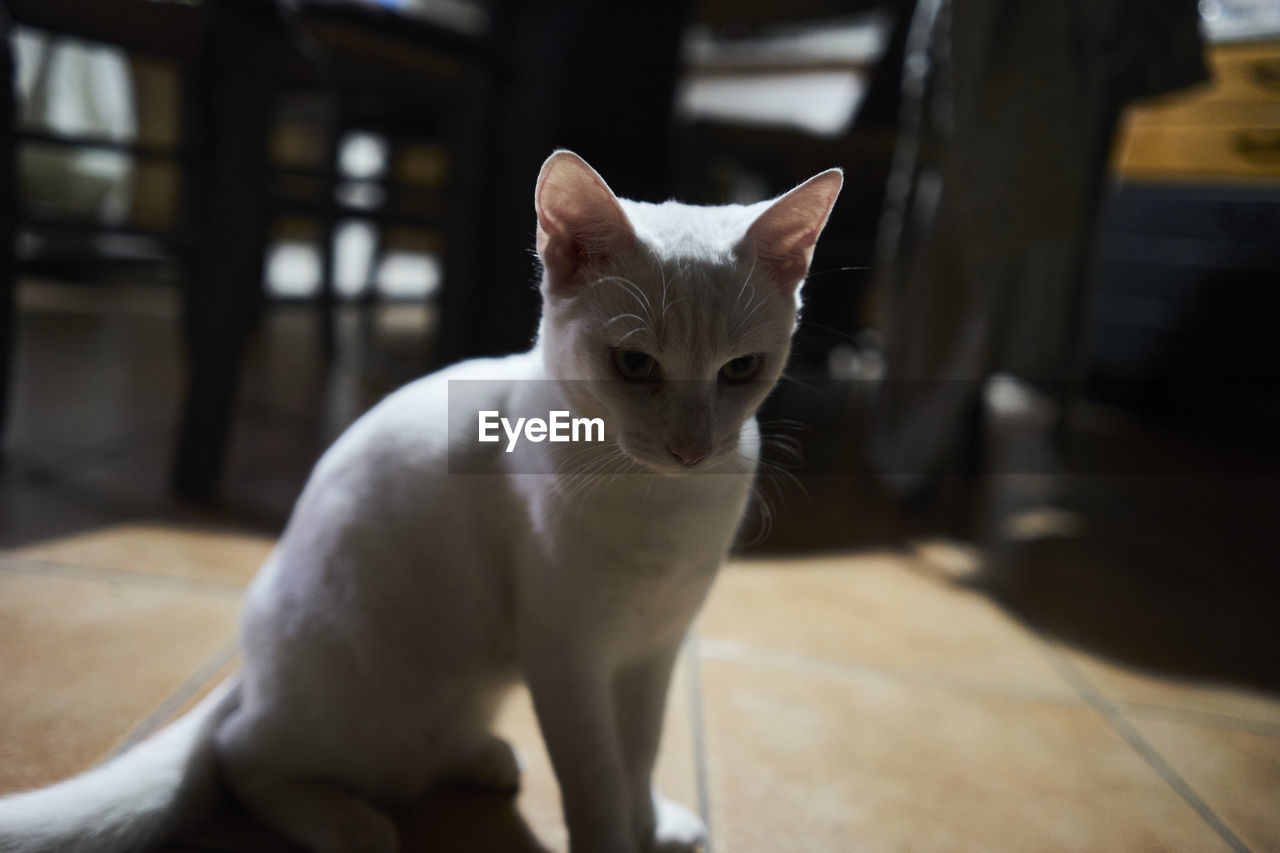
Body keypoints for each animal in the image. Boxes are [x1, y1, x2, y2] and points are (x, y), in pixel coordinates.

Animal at [0, 149, 839, 845]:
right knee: (244, 757)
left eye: (739, 370)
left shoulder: (651, 650)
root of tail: (247, 675)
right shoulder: (568, 654)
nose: (692, 448)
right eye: (635, 364)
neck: (663, 503)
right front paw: (618, 839)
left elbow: (640, 757)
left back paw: (484, 758)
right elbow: (598, 780)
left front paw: (652, 825)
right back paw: (352, 826)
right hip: (366, 698)